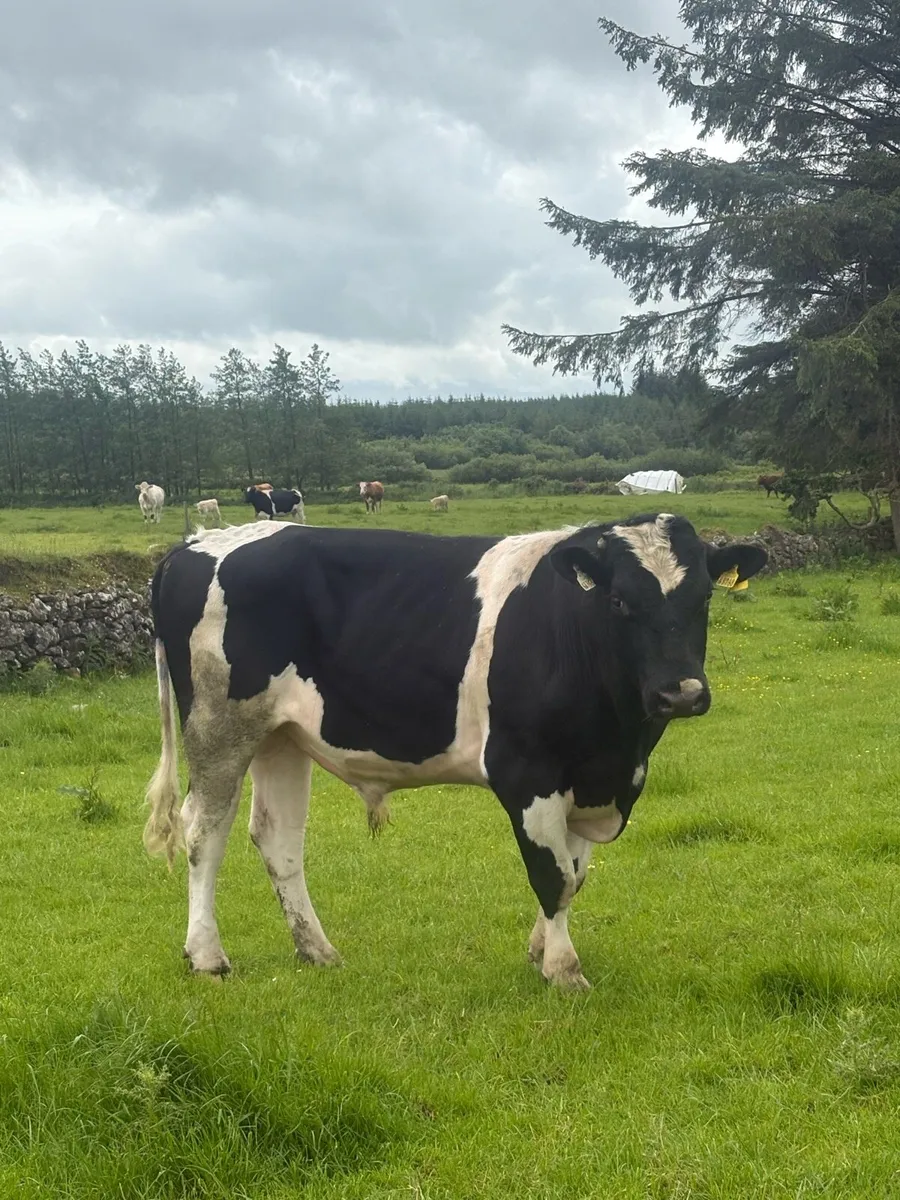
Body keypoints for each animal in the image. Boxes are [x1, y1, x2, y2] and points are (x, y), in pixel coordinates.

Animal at [143, 513, 766, 989]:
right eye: (617, 602)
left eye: (704, 598)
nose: (680, 692)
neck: (619, 740)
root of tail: (194, 543)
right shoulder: (527, 771)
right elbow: (553, 876)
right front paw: (563, 970)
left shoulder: (591, 780)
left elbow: (575, 873)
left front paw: (541, 949)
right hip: (219, 724)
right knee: (203, 831)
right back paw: (207, 955)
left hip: (280, 735)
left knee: (278, 838)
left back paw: (317, 950)